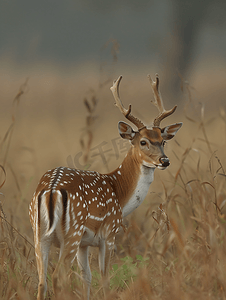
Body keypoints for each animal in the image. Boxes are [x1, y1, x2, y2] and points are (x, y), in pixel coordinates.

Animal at [29, 74, 182, 298]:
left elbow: (87, 277)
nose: (165, 161)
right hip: (72, 231)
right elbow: (105, 277)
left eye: (163, 141)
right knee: (57, 276)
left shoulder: (84, 244)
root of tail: (50, 190)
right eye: (143, 141)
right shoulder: (109, 233)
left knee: (41, 281)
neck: (119, 193)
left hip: (39, 233)